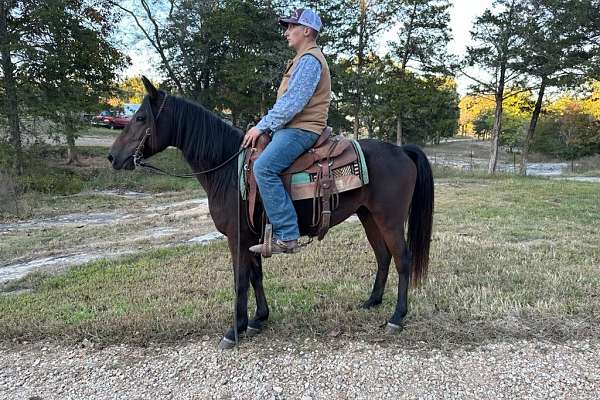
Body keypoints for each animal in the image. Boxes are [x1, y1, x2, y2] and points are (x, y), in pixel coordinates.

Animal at [108, 76, 434, 348]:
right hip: (369, 216)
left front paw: (234, 330)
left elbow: (240, 279)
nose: (112, 157)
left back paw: (397, 317)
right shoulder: (251, 236)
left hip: (390, 219)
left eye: (140, 117)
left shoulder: (237, 237)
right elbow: (256, 275)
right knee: (383, 256)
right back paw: (372, 302)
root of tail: (402, 150)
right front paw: (257, 320)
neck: (228, 170)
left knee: (403, 259)